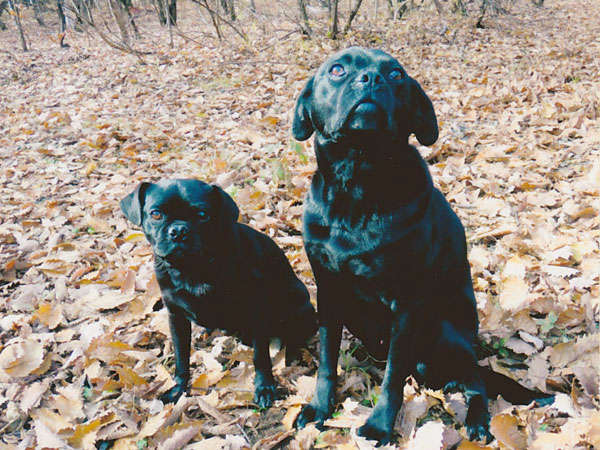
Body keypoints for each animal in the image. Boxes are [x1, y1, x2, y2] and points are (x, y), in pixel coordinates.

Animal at [122, 179, 318, 408]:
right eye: (155, 214)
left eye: (202, 214)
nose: (178, 230)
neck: (194, 269)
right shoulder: (176, 318)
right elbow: (181, 357)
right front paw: (179, 388)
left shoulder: (256, 312)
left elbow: (261, 357)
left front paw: (265, 387)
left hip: (297, 307)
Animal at [292, 48, 552, 442]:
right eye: (337, 70)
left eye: (396, 74)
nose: (371, 78)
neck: (358, 186)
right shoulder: (330, 292)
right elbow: (326, 362)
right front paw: (321, 408)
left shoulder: (407, 305)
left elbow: (392, 378)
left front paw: (380, 425)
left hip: (443, 334)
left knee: (475, 381)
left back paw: (477, 420)